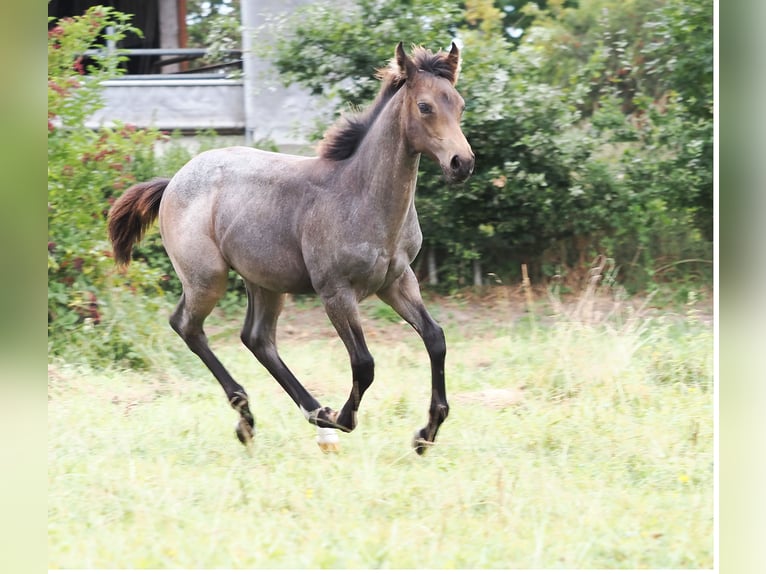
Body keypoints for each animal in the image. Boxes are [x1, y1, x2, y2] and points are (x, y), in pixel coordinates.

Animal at [107, 42, 474, 454]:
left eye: (459, 104)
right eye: (425, 106)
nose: (462, 163)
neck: (360, 194)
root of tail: (172, 182)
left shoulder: (397, 281)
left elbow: (435, 338)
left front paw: (426, 433)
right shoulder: (335, 291)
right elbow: (364, 363)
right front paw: (342, 419)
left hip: (264, 282)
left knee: (256, 338)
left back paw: (300, 416)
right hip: (207, 278)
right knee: (187, 326)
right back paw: (261, 416)